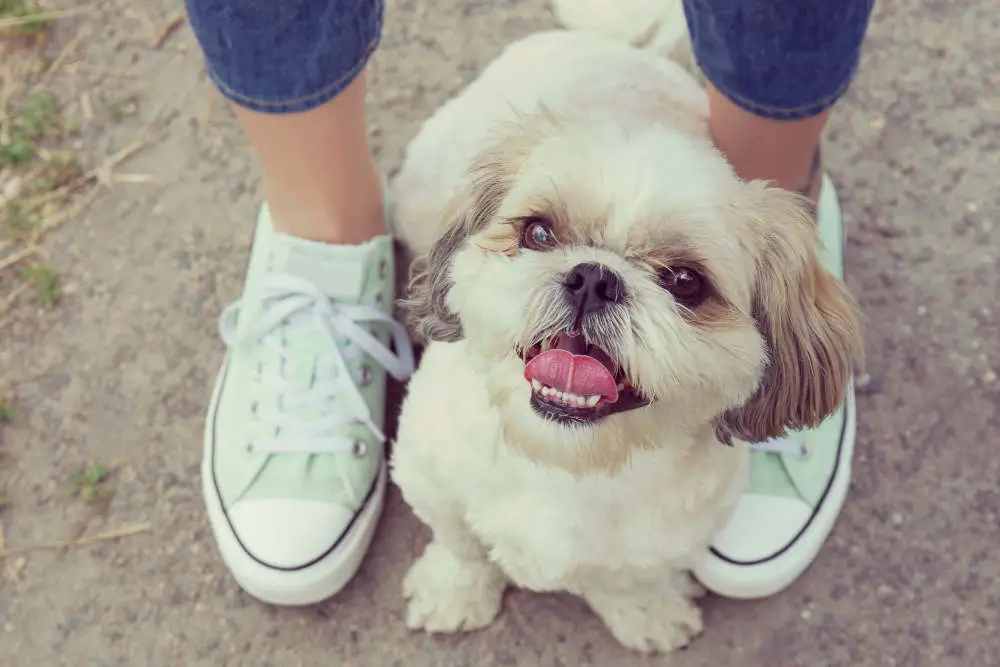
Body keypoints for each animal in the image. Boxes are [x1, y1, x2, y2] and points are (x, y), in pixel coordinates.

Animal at [386, 1, 864, 656]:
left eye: (685, 281)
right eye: (538, 232)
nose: (593, 277)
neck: (567, 465)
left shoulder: (671, 536)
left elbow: (630, 578)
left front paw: (646, 613)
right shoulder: (428, 477)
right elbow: (460, 544)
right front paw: (454, 592)